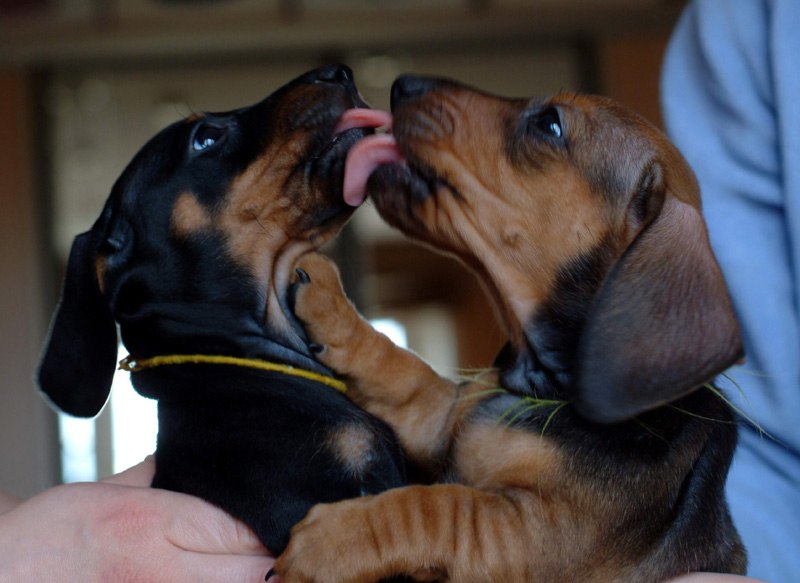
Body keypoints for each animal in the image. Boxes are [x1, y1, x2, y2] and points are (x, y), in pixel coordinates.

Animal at [273, 76, 747, 581]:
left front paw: (334, 539)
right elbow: (404, 374)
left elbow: (439, 508)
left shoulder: (536, 535)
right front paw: (330, 303)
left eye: (550, 124)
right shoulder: (440, 420)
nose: (404, 83)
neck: (540, 387)